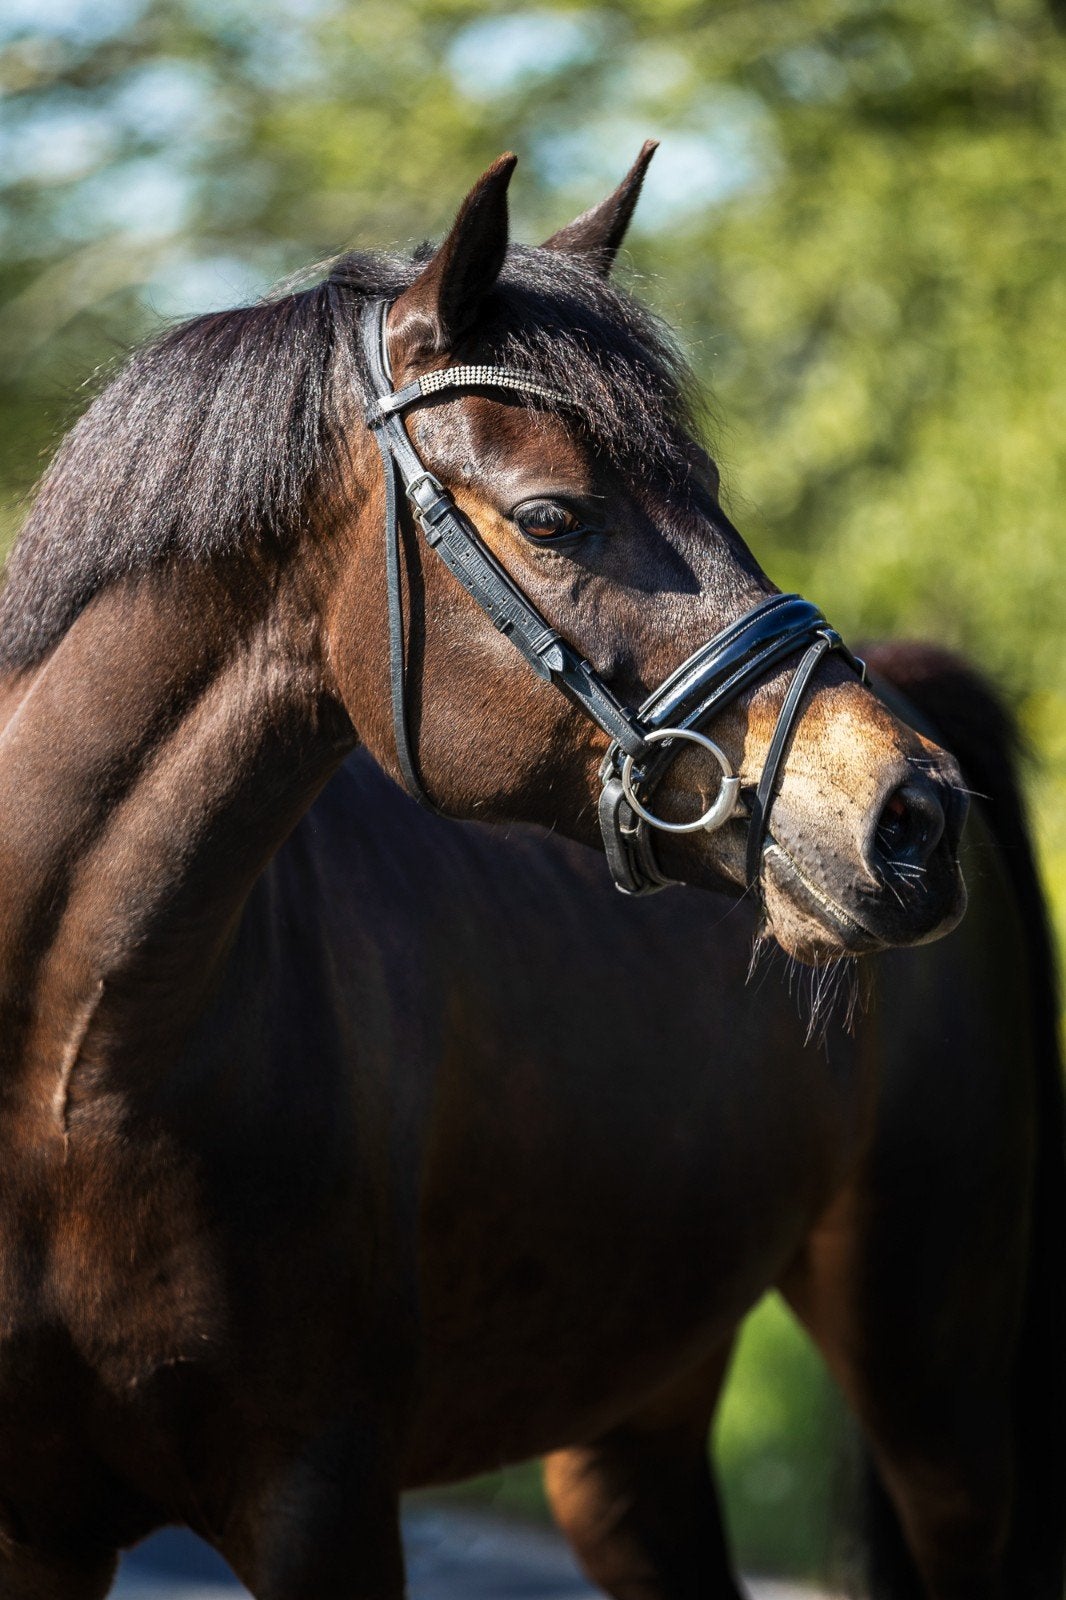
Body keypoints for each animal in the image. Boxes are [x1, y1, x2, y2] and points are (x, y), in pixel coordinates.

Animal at [0, 146, 979, 1598]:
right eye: (552, 517)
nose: (911, 813)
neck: (64, 1075)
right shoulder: (40, 1527)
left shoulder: (324, 1500)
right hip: (635, 1428)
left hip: (935, 1392)